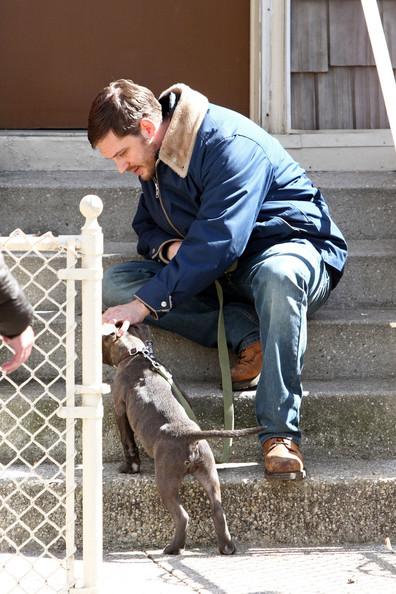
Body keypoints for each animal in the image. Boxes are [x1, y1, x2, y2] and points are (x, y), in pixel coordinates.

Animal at [103, 322, 262, 552]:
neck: (134, 355)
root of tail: (189, 436)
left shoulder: (119, 408)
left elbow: (128, 442)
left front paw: (129, 468)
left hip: (166, 479)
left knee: (182, 515)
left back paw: (173, 548)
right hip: (209, 473)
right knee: (218, 509)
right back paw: (227, 547)